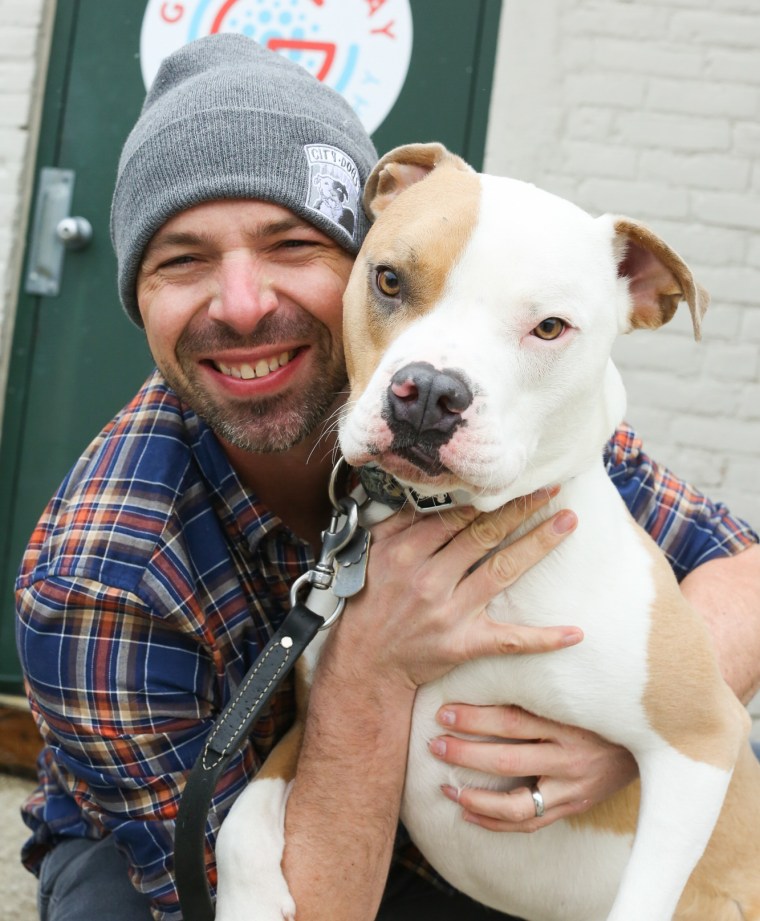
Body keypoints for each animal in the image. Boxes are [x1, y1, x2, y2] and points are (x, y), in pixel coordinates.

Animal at [214, 144, 760, 920]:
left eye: (551, 327)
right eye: (389, 279)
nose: (428, 393)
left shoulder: (700, 739)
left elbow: (643, 898)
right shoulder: (318, 711)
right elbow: (237, 816)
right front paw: (251, 899)